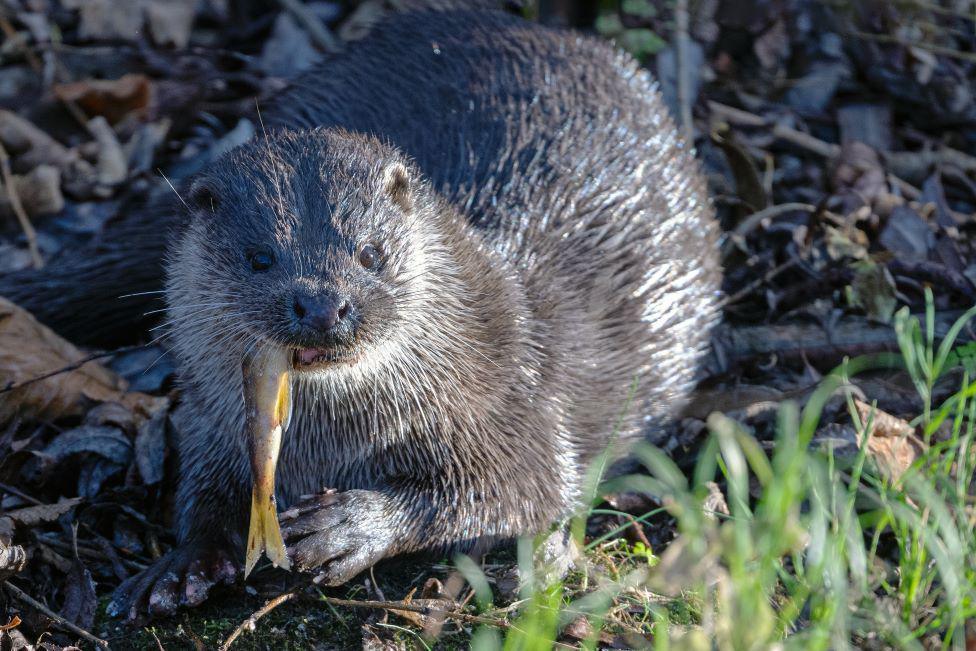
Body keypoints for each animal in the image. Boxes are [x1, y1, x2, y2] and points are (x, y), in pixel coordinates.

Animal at [3, 5, 720, 620]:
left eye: (370, 252)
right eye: (259, 257)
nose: (323, 303)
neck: (337, 446)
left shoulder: (516, 406)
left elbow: (514, 490)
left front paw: (351, 526)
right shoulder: (210, 423)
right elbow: (201, 496)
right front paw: (181, 565)